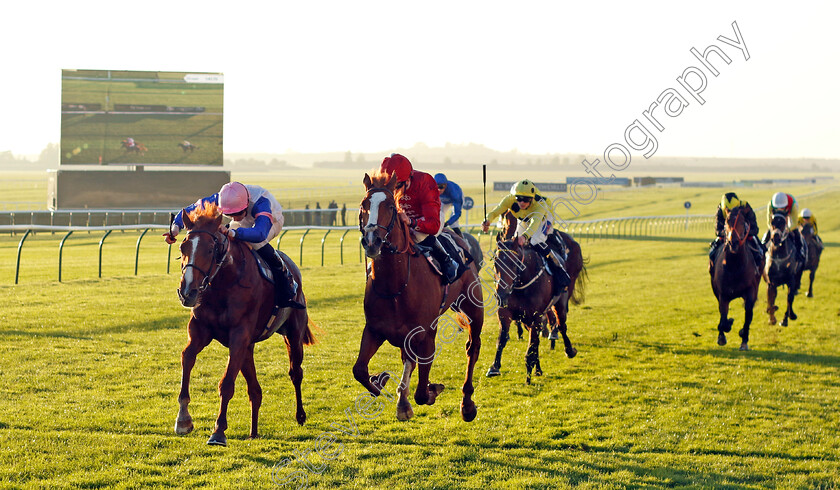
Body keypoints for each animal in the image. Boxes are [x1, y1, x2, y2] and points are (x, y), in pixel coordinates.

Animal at [174, 201, 316, 446]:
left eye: (210, 250)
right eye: (183, 248)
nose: (188, 292)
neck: (224, 283)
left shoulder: (239, 336)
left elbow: (226, 383)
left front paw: (218, 431)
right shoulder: (201, 331)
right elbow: (187, 357)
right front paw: (183, 419)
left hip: (293, 334)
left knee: (295, 373)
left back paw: (300, 415)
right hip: (249, 347)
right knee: (255, 390)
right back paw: (253, 431)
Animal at [354, 171, 486, 422]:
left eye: (390, 206)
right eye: (363, 204)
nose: (372, 241)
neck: (395, 286)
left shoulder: (423, 333)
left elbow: (421, 390)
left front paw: (424, 393)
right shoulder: (374, 329)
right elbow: (360, 370)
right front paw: (382, 381)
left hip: (473, 307)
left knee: (472, 347)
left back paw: (467, 404)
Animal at [486, 212, 584, 384]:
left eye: (514, 263)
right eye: (496, 263)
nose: (501, 294)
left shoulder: (536, 315)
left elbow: (532, 345)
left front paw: (528, 375)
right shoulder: (506, 312)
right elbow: (503, 338)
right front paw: (494, 367)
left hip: (561, 300)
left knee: (561, 324)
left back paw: (568, 349)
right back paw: (538, 368)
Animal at [708, 205, 760, 350]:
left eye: (743, 222)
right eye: (727, 222)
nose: (733, 243)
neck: (734, 266)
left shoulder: (751, 290)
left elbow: (748, 313)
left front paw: (744, 339)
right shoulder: (723, 294)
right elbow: (723, 318)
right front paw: (723, 334)